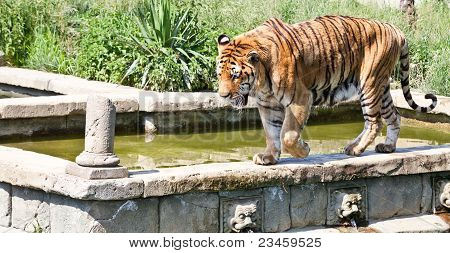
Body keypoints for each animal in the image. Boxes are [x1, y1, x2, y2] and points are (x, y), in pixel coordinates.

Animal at [216, 15, 438, 166]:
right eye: (219, 74)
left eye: (235, 75)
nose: (223, 96)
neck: (261, 81)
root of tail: (395, 29)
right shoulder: (268, 104)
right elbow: (271, 132)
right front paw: (268, 157)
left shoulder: (300, 98)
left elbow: (287, 134)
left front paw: (304, 150)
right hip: (381, 88)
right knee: (394, 116)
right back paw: (386, 147)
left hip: (370, 83)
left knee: (374, 122)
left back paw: (356, 148)